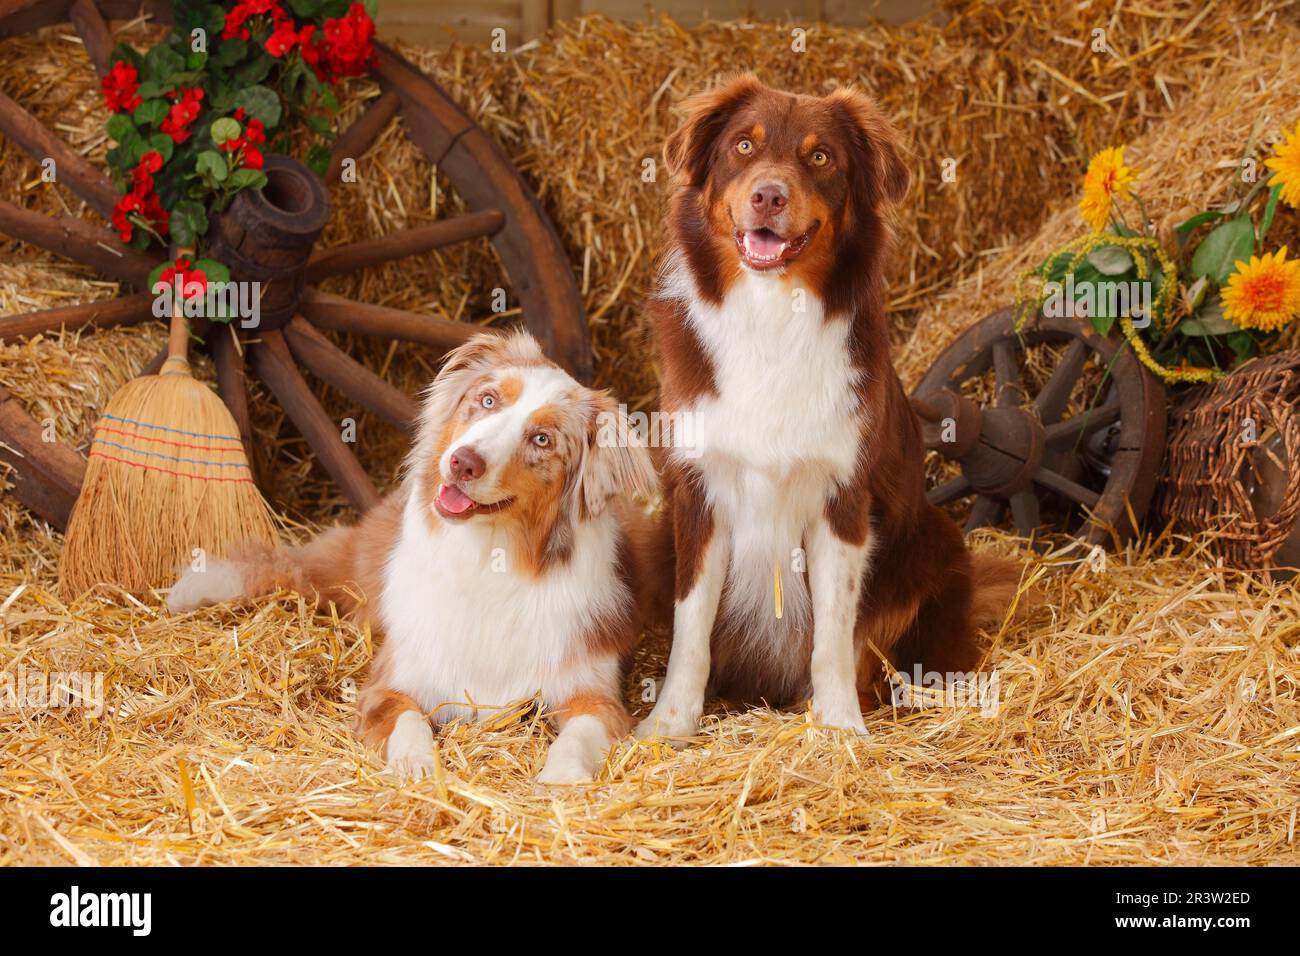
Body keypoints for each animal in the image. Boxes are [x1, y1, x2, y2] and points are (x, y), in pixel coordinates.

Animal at [170, 329, 660, 785]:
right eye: (487, 400)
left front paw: (562, 779)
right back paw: (199, 586)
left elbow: (580, 734)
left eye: (542, 439)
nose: (463, 462)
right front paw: (418, 768)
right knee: (293, 564)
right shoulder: (393, 681)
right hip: (356, 567)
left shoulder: (595, 694)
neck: (489, 558)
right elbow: (407, 722)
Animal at [634, 78, 1019, 743]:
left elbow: (836, 635)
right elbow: (690, 629)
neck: (769, 311)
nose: (768, 195)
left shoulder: (844, 497)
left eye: (820, 158)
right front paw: (671, 722)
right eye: (743, 145)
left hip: (935, 540)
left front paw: (840, 727)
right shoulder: (697, 492)